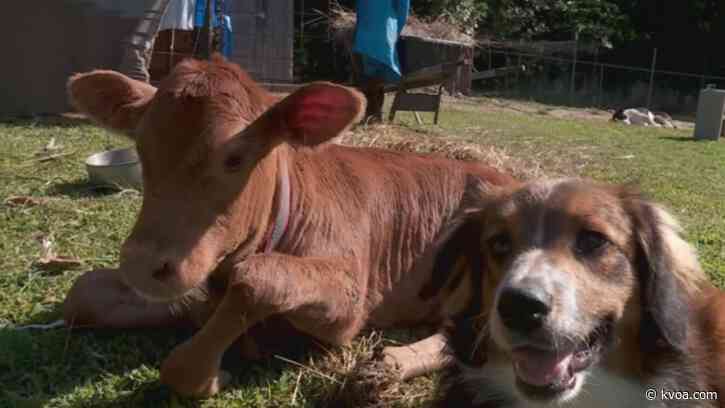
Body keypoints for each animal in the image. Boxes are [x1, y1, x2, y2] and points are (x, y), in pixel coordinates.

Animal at [62, 55, 516, 397]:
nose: (143, 265)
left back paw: (386, 365)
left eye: (235, 157)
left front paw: (212, 373)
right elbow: (81, 294)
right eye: (141, 147)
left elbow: (256, 279)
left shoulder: (350, 304)